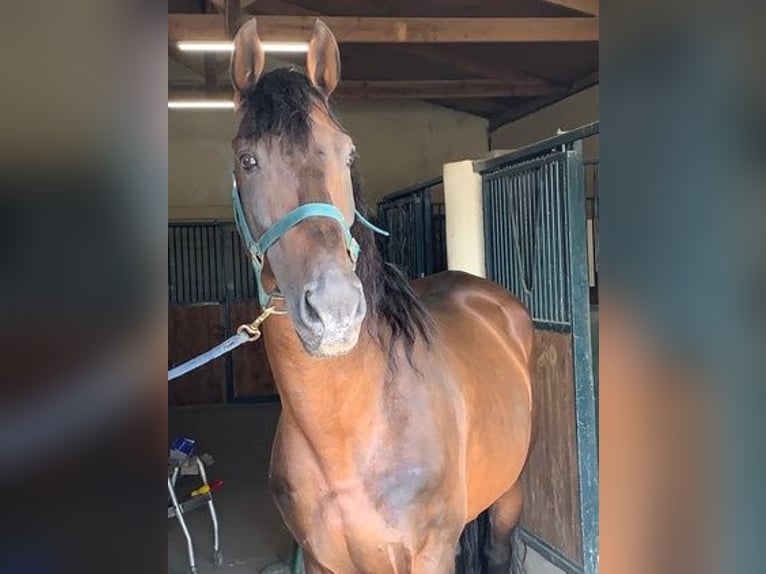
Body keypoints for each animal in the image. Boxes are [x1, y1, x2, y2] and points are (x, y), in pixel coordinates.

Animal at [231, 16, 536, 572]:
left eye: (348, 152)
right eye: (248, 160)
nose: (334, 309)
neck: (348, 434)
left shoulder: (432, 554)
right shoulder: (321, 560)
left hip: (510, 493)